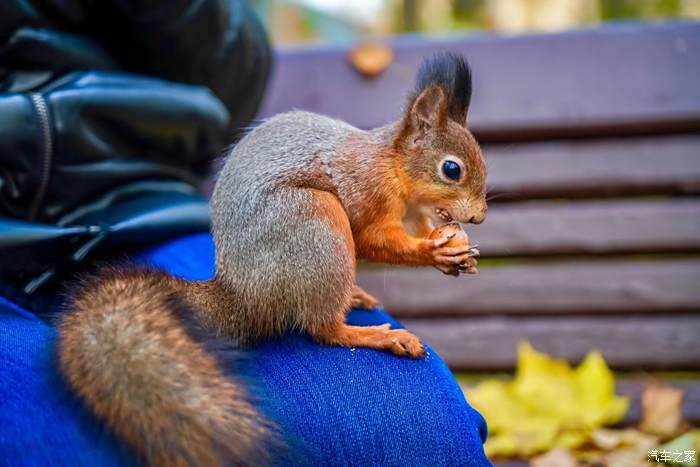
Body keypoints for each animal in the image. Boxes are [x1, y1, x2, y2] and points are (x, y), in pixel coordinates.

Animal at [57, 53, 486, 467]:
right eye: (451, 169)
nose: (479, 217)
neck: (395, 169)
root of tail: (243, 295)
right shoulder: (367, 192)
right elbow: (373, 240)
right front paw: (432, 250)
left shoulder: (413, 213)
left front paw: (455, 254)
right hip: (314, 221)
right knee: (324, 329)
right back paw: (375, 334)